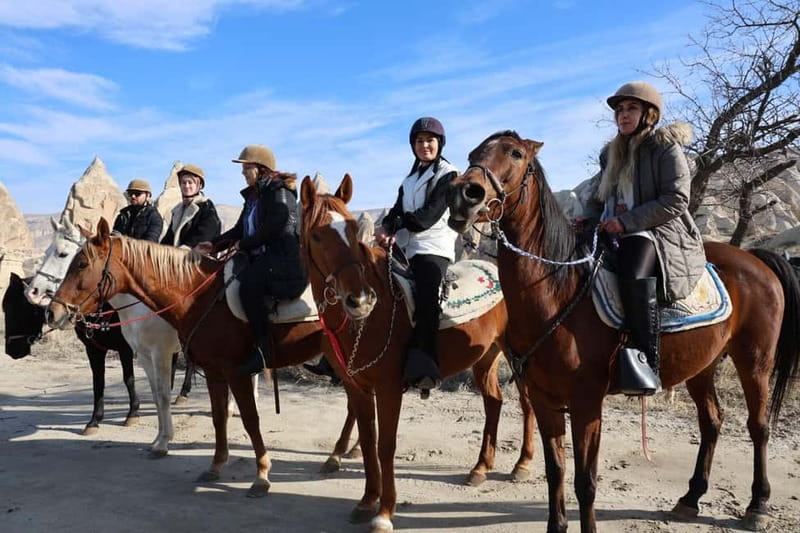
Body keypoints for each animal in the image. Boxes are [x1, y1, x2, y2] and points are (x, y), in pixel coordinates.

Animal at [4, 272, 141, 433]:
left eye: (15, 308)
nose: (10, 350)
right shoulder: (93, 350)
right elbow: (98, 383)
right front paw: (94, 421)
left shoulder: (125, 349)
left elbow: (129, 379)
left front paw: (132, 414)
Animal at [299, 174, 536, 533]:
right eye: (316, 235)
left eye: (354, 231)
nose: (360, 300)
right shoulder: (357, 387)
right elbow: (368, 441)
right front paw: (366, 501)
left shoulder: (387, 388)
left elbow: (385, 446)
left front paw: (384, 512)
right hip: (485, 358)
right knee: (494, 401)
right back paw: (480, 468)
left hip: (516, 355)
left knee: (526, 403)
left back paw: (522, 464)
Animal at [446, 131, 800, 532]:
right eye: (473, 154)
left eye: (516, 153)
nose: (465, 194)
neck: (557, 290)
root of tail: (756, 258)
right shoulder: (544, 398)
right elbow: (556, 472)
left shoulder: (586, 403)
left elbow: (585, 482)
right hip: (702, 365)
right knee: (712, 422)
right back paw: (690, 498)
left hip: (755, 360)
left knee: (758, 426)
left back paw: (758, 505)